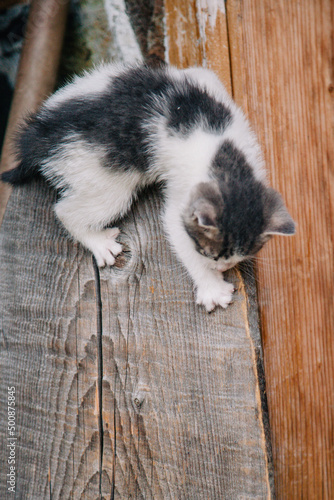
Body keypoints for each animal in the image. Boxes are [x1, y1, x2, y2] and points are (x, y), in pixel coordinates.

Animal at [1, 61, 294, 312]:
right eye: (206, 252)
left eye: (239, 257)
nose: (221, 268)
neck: (228, 160)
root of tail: (39, 137)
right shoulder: (182, 202)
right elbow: (176, 232)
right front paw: (212, 288)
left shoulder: (205, 80)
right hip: (104, 181)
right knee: (65, 211)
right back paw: (99, 244)